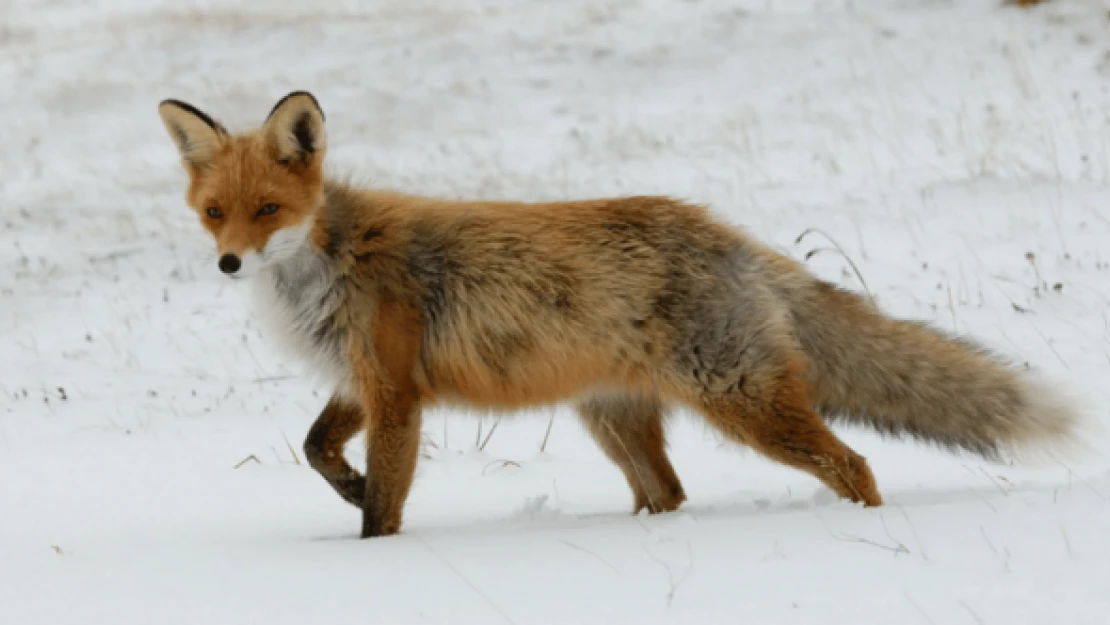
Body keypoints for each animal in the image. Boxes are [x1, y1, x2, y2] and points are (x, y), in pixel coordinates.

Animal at [158, 90, 1083, 539]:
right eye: (215, 213)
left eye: (269, 210)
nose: (230, 262)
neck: (329, 261)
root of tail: (731, 236)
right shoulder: (366, 379)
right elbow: (316, 447)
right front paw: (345, 485)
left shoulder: (396, 391)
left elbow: (383, 507)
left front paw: (373, 550)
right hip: (612, 420)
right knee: (666, 493)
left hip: (741, 401)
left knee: (853, 464)